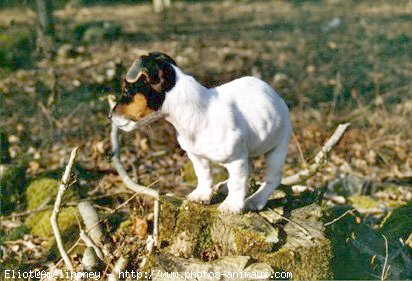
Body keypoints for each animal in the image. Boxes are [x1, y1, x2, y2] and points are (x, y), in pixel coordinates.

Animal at [108, 52, 290, 213]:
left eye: (126, 91)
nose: (109, 115)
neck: (194, 110)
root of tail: (276, 96)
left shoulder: (236, 159)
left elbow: (238, 183)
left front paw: (232, 205)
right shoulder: (196, 156)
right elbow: (203, 176)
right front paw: (203, 194)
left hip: (277, 150)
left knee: (272, 179)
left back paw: (256, 199)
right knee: (249, 168)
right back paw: (225, 186)